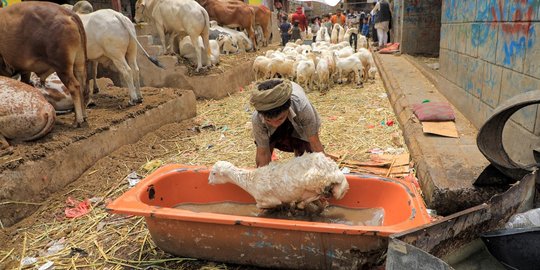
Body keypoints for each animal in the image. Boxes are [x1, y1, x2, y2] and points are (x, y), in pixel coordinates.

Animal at [207, 152, 350, 213]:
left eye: (213, 173)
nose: (209, 181)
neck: (251, 181)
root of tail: (335, 170)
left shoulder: (268, 199)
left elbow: (260, 206)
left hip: (315, 182)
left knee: (319, 194)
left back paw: (301, 204)